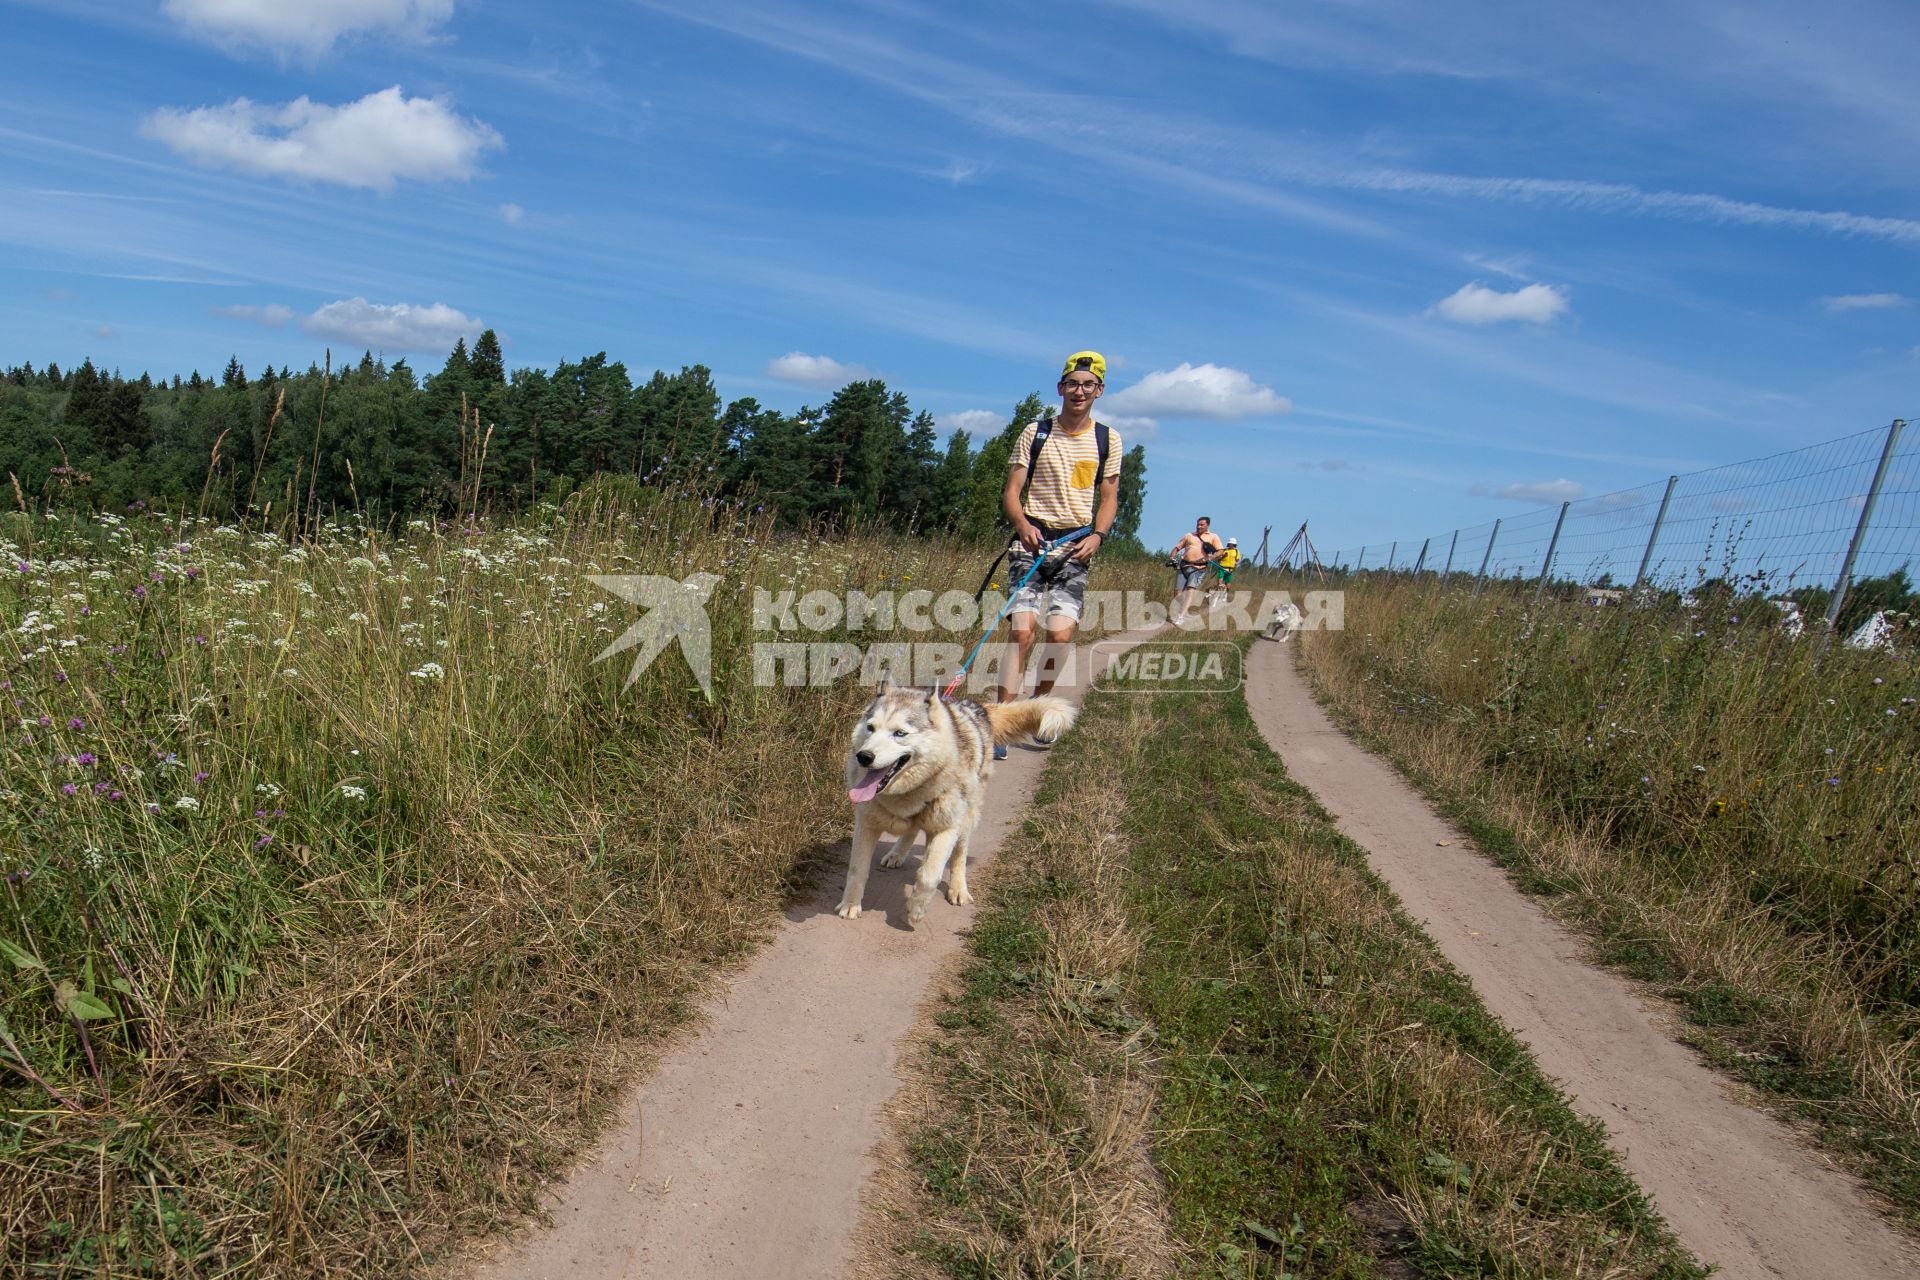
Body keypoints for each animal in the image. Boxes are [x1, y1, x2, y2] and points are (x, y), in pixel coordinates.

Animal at [840, 679, 1082, 932]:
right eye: (871, 728)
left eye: (900, 733)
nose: (864, 756)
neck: (907, 794)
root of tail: (976, 708)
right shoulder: (866, 825)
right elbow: (857, 869)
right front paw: (850, 905)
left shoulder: (947, 830)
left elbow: (929, 875)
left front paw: (916, 909)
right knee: (912, 830)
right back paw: (897, 854)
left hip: (966, 822)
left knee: (959, 857)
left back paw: (958, 890)